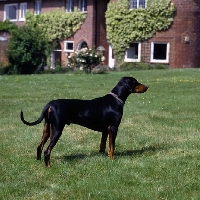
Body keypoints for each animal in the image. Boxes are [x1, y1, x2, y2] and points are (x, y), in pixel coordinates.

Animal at [20, 77, 148, 166]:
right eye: (135, 82)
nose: (147, 87)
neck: (115, 100)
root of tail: (50, 104)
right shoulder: (113, 128)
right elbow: (112, 147)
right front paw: (112, 159)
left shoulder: (105, 130)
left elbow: (103, 146)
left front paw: (103, 157)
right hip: (57, 130)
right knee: (47, 150)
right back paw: (49, 166)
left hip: (47, 129)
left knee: (39, 146)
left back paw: (39, 162)